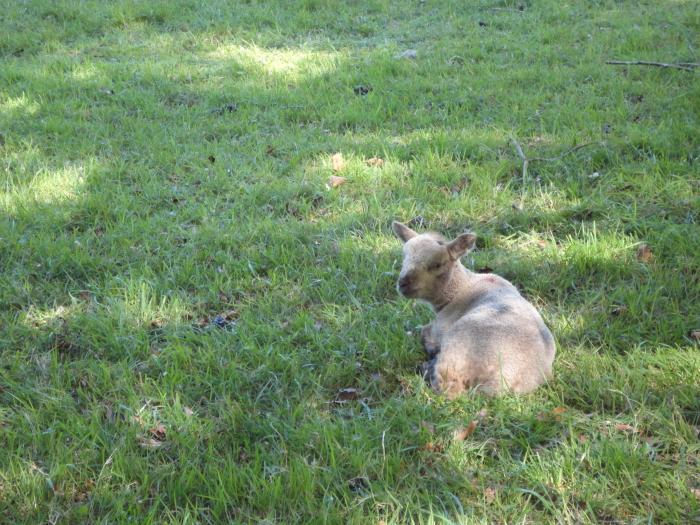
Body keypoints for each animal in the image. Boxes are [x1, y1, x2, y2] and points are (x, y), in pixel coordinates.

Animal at [392, 221, 556, 398]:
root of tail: (496, 384)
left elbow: (424, 332)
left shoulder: (438, 327)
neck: (459, 289)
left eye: (437, 264)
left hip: (460, 344)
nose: (403, 283)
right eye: (404, 257)